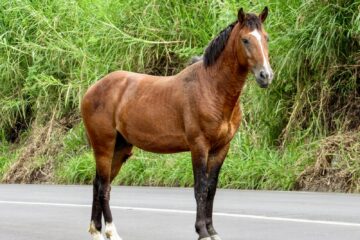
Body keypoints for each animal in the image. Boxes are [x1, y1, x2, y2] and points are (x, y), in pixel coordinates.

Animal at [81, 6, 272, 240]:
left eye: (266, 38)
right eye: (245, 40)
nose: (266, 75)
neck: (211, 88)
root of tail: (92, 89)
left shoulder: (221, 149)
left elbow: (211, 189)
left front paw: (212, 230)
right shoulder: (199, 146)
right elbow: (200, 188)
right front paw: (202, 231)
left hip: (120, 148)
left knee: (99, 183)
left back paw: (97, 231)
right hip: (104, 147)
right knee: (103, 187)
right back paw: (110, 231)